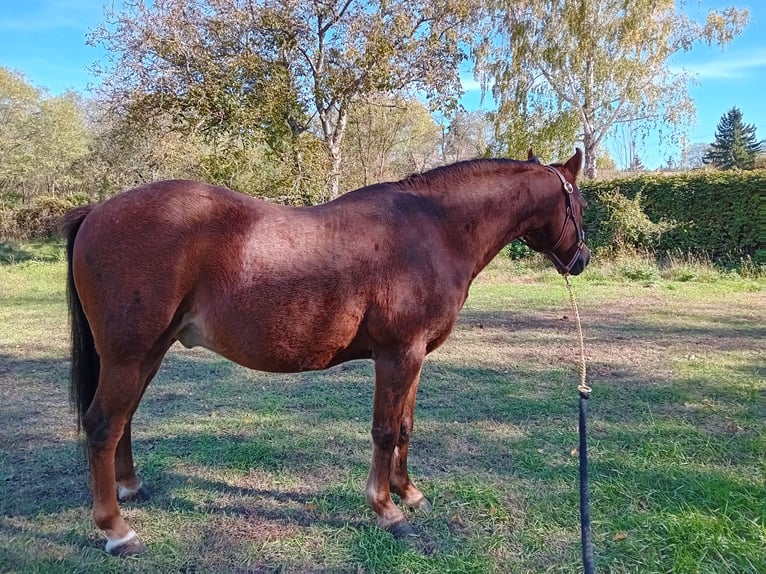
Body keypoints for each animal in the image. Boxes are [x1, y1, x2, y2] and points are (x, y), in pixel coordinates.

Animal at [63, 148, 592, 560]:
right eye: (581, 204)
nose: (581, 260)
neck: (433, 231)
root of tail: (96, 212)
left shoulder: (416, 356)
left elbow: (405, 427)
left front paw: (409, 493)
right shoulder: (398, 354)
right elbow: (384, 431)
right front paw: (387, 511)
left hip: (146, 355)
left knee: (123, 421)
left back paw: (131, 489)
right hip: (129, 357)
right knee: (104, 425)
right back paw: (117, 531)